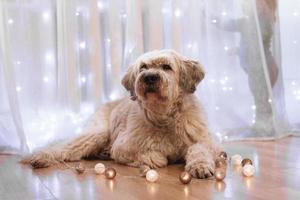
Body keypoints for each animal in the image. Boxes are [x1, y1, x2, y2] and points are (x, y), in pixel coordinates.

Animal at [22, 49, 220, 178]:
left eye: (166, 67)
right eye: (143, 67)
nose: (149, 77)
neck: (164, 117)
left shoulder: (207, 141)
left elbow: (200, 150)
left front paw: (200, 166)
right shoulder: (122, 146)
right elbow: (151, 155)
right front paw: (157, 157)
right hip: (97, 133)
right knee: (65, 148)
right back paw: (41, 157)